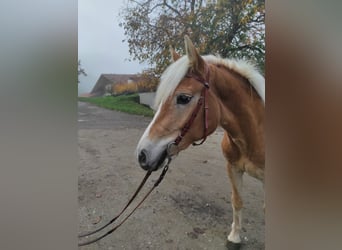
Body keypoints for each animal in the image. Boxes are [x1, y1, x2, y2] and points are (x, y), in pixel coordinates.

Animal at [136, 35, 264, 246]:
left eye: (183, 98)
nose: (142, 155)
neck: (252, 136)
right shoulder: (233, 168)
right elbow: (237, 201)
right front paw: (234, 237)